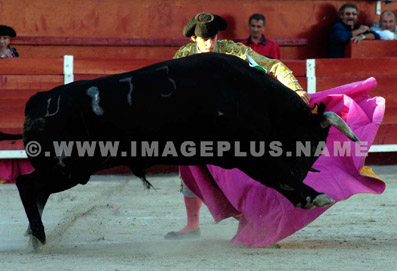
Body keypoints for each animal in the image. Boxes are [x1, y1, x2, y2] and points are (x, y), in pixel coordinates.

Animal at [0, 52, 358, 246]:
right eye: (310, 142)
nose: (303, 172)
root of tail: (37, 100)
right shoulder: (247, 152)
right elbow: (277, 174)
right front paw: (313, 196)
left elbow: (274, 177)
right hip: (68, 168)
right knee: (26, 184)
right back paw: (39, 236)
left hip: (65, 169)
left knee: (37, 191)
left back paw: (34, 236)